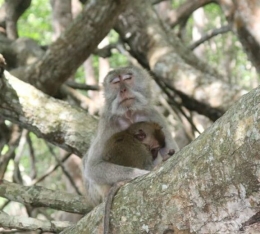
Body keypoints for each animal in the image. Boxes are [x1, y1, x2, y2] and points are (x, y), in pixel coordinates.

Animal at [83, 66, 179, 205]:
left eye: (128, 78)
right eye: (116, 82)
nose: (123, 90)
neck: (130, 114)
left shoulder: (154, 115)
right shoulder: (107, 123)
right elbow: (93, 167)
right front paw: (140, 173)